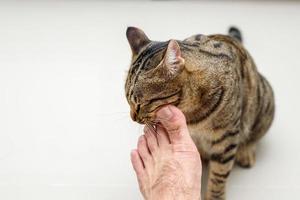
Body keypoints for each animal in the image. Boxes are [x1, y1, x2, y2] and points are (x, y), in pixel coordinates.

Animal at [123, 27, 274, 200]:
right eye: (127, 100)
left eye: (140, 104)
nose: (133, 117)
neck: (189, 114)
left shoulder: (226, 139)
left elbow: (219, 175)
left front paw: (214, 197)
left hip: (264, 101)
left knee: (254, 135)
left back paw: (245, 151)